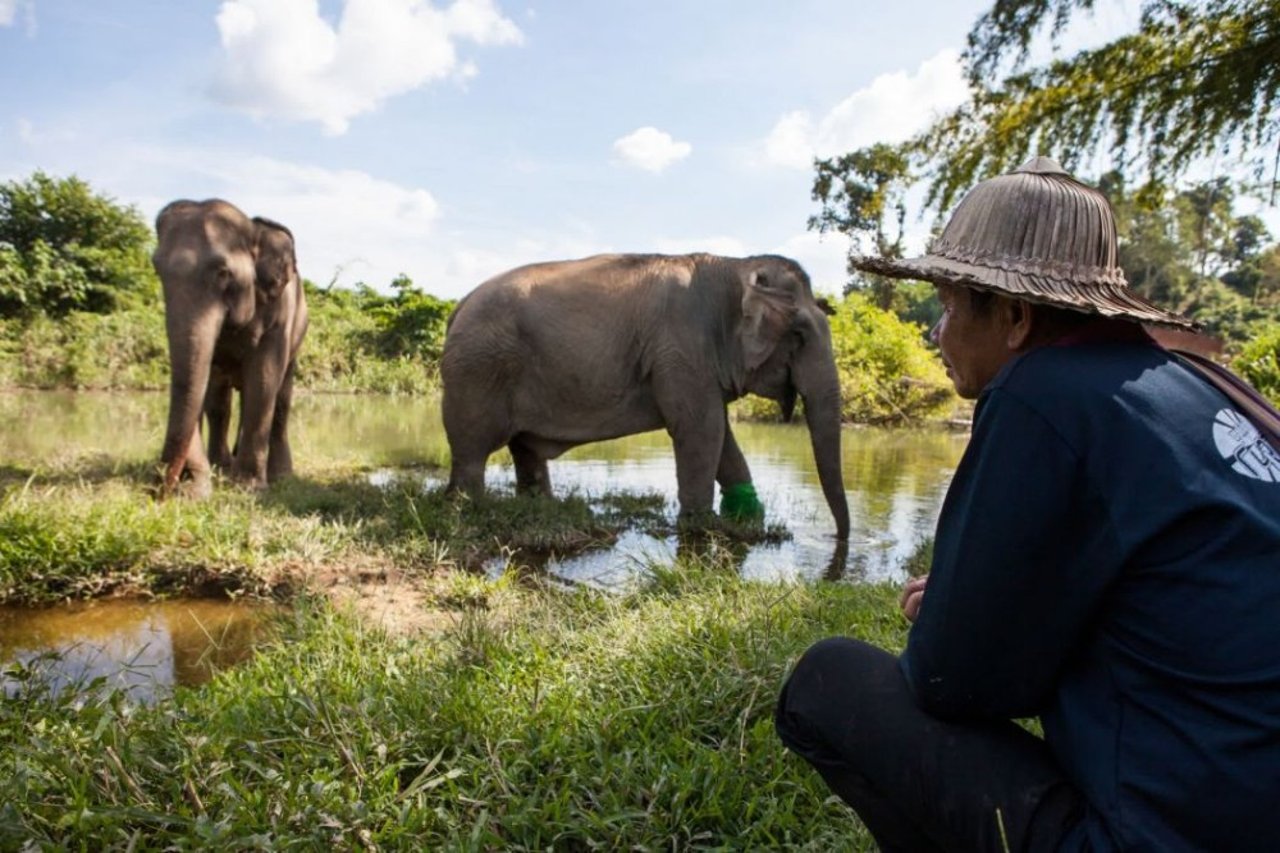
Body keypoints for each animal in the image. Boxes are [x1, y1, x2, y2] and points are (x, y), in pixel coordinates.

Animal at [149, 198, 307, 494]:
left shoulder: (280, 316)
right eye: (158, 270)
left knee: (280, 400)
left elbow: (264, 379)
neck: (254, 232)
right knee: (220, 402)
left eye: (223, 273)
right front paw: (198, 487)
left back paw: (280, 475)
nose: (161, 491)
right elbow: (205, 386)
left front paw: (248, 487)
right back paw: (222, 464)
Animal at [440, 249, 849, 537]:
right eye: (799, 335)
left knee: (525, 450)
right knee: (473, 450)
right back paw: (468, 508)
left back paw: (541, 508)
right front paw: (699, 525)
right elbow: (700, 430)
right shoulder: (681, 348)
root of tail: (460, 305)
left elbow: (721, 434)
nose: (841, 539)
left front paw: (747, 517)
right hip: (478, 371)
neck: (734, 267)